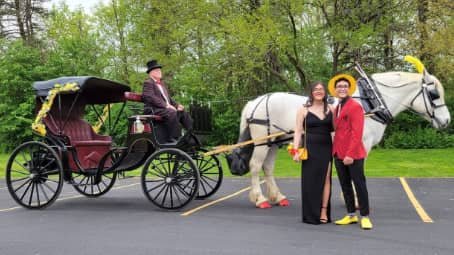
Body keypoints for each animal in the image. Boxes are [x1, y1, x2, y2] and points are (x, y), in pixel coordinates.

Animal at [236, 69, 452, 207]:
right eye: (433, 94)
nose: (447, 120)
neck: (370, 104)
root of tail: (255, 101)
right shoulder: (361, 144)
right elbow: (356, 169)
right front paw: (355, 200)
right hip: (261, 142)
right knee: (255, 166)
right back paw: (260, 199)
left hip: (273, 143)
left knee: (268, 168)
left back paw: (277, 197)